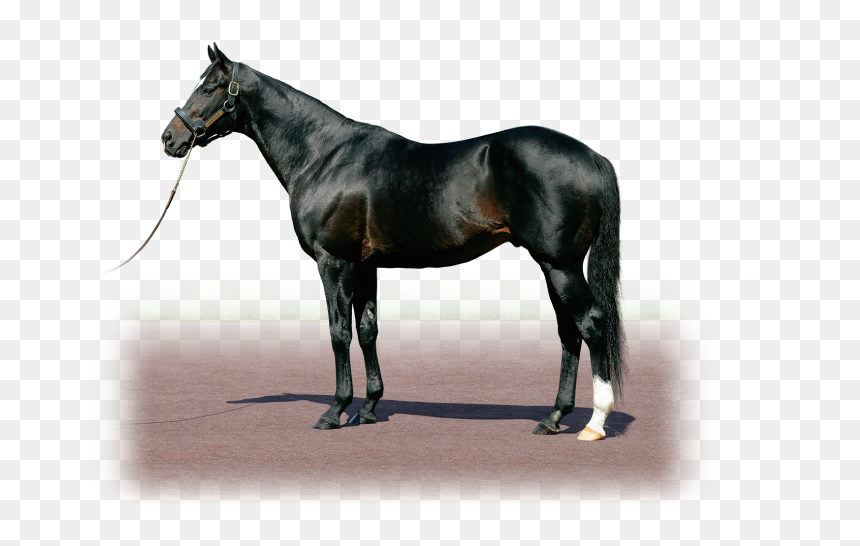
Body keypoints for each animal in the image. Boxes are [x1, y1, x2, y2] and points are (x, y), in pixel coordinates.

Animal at [160, 44, 626, 441]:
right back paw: (552, 418)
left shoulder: (334, 261)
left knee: (590, 324)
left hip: (560, 264)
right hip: (553, 265)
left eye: (209, 87)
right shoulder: (365, 265)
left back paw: (594, 423)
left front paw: (335, 411)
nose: (170, 138)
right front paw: (367, 409)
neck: (323, 155)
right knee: (568, 332)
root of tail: (593, 156)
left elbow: (338, 332)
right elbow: (368, 330)